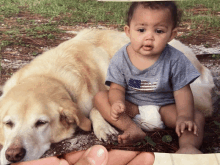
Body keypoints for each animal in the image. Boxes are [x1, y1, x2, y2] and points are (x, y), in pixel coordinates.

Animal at [0, 29, 214, 164]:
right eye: (8, 123)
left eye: (41, 123)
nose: (13, 155)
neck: (50, 76)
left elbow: (96, 107)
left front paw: (103, 127)